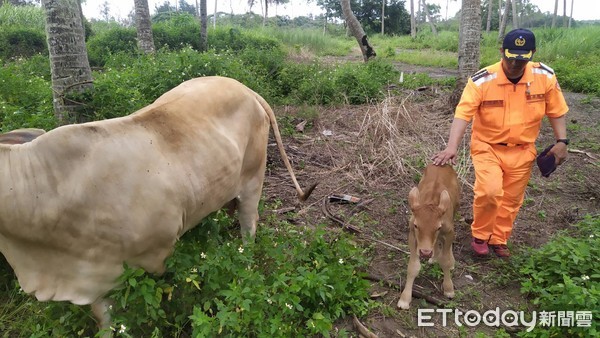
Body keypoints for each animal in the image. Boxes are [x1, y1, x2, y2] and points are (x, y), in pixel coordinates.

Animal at [0, 76, 316, 332]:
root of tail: (245, 88)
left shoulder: (156, 256)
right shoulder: (95, 280)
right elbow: (106, 322)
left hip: (252, 182)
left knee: (249, 229)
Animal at [398, 164, 460, 308]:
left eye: (438, 227)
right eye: (416, 225)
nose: (425, 252)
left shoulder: (449, 231)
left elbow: (445, 260)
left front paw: (448, 288)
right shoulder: (412, 235)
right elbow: (413, 267)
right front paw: (405, 299)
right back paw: (434, 257)